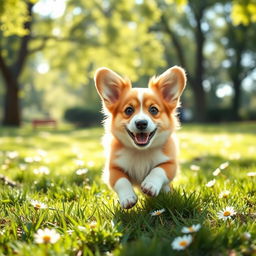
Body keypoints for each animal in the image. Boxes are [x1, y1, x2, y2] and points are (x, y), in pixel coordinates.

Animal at [94, 67, 186, 209]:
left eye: (153, 110)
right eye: (128, 110)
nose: (141, 123)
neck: (141, 152)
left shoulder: (171, 164)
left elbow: (159, 169)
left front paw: (150, 185)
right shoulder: (112, 169)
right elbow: (121, 180)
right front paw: (128, 198)